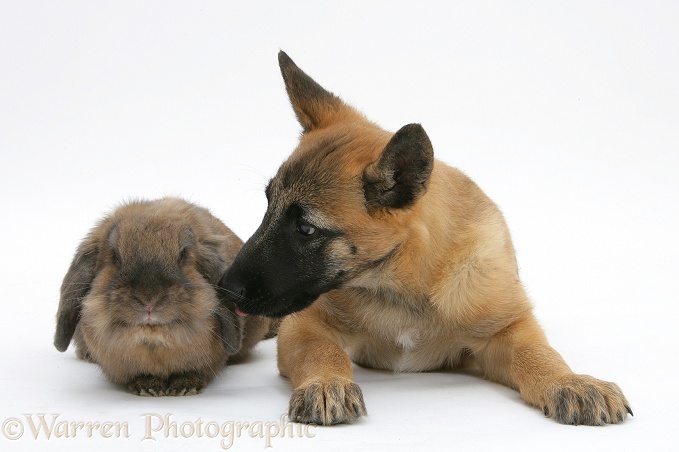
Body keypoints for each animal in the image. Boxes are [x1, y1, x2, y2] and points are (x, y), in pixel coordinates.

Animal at [53, 198, 274, 396]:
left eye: (184, 255)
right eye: (114, 256)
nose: (149, 300)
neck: (155, 343)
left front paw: (184, 387)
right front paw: (147, 387)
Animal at [220, 51, 636, 426]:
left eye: (306, 229)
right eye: (268, 204)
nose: (224, 290)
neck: (401, 283)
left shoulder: (507, 329)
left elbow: (539, 355)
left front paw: (570, 382)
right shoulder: (305, 324)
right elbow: (321, 352)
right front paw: (326, 383)